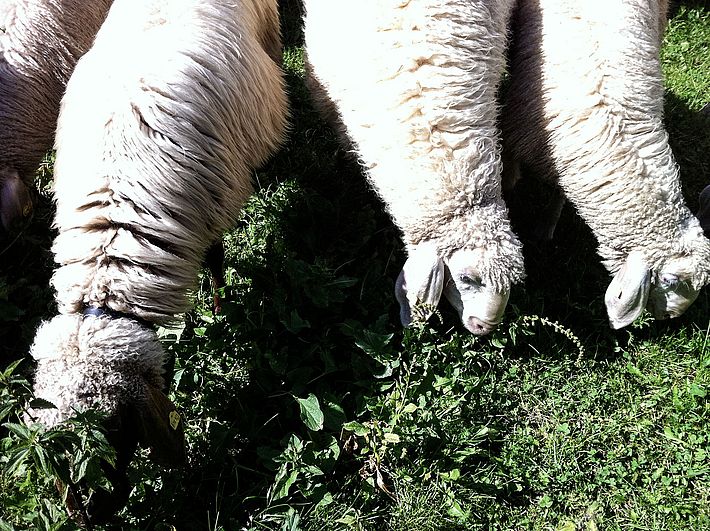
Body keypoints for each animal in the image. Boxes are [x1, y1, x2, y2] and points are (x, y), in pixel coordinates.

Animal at [27, 0, 290, 520]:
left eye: (114, 428)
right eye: (57, 457)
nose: (96, 515)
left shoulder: (211, 206)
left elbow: (215, 259)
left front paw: (220, 306)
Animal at [500, 0, 710, 328]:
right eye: (670, 281)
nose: (672, 318)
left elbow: (558, 196)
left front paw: (546, 227)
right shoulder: (516, 135)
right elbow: (509, 174)